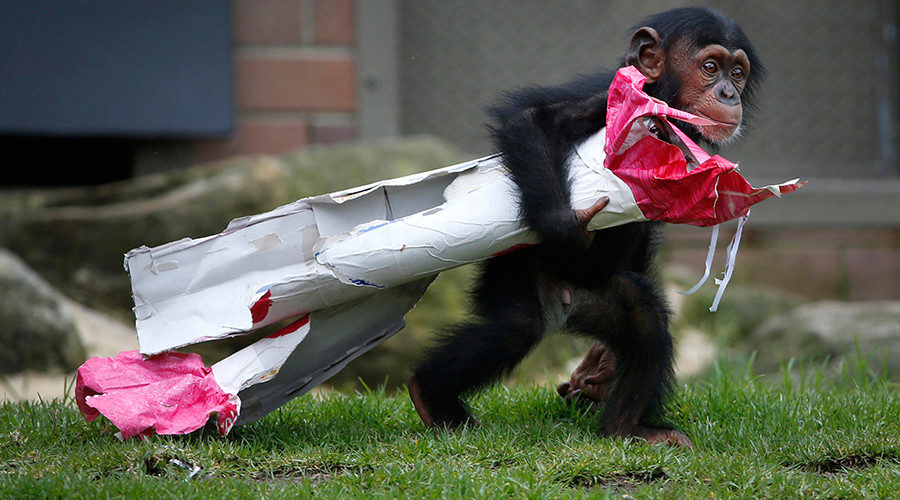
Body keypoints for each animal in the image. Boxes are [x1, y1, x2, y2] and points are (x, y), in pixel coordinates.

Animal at [408, 7, 763, 447]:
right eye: (710, 67)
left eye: (737, 73)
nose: (729, 93)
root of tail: (565, 304)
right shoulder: (607, 96)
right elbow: (533, 120)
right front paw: (567, 228)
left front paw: (600, 367)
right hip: (517, 275)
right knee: (513, 329)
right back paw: (430, 395)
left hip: (601, 298)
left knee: (644, 321)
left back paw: (626, 426)